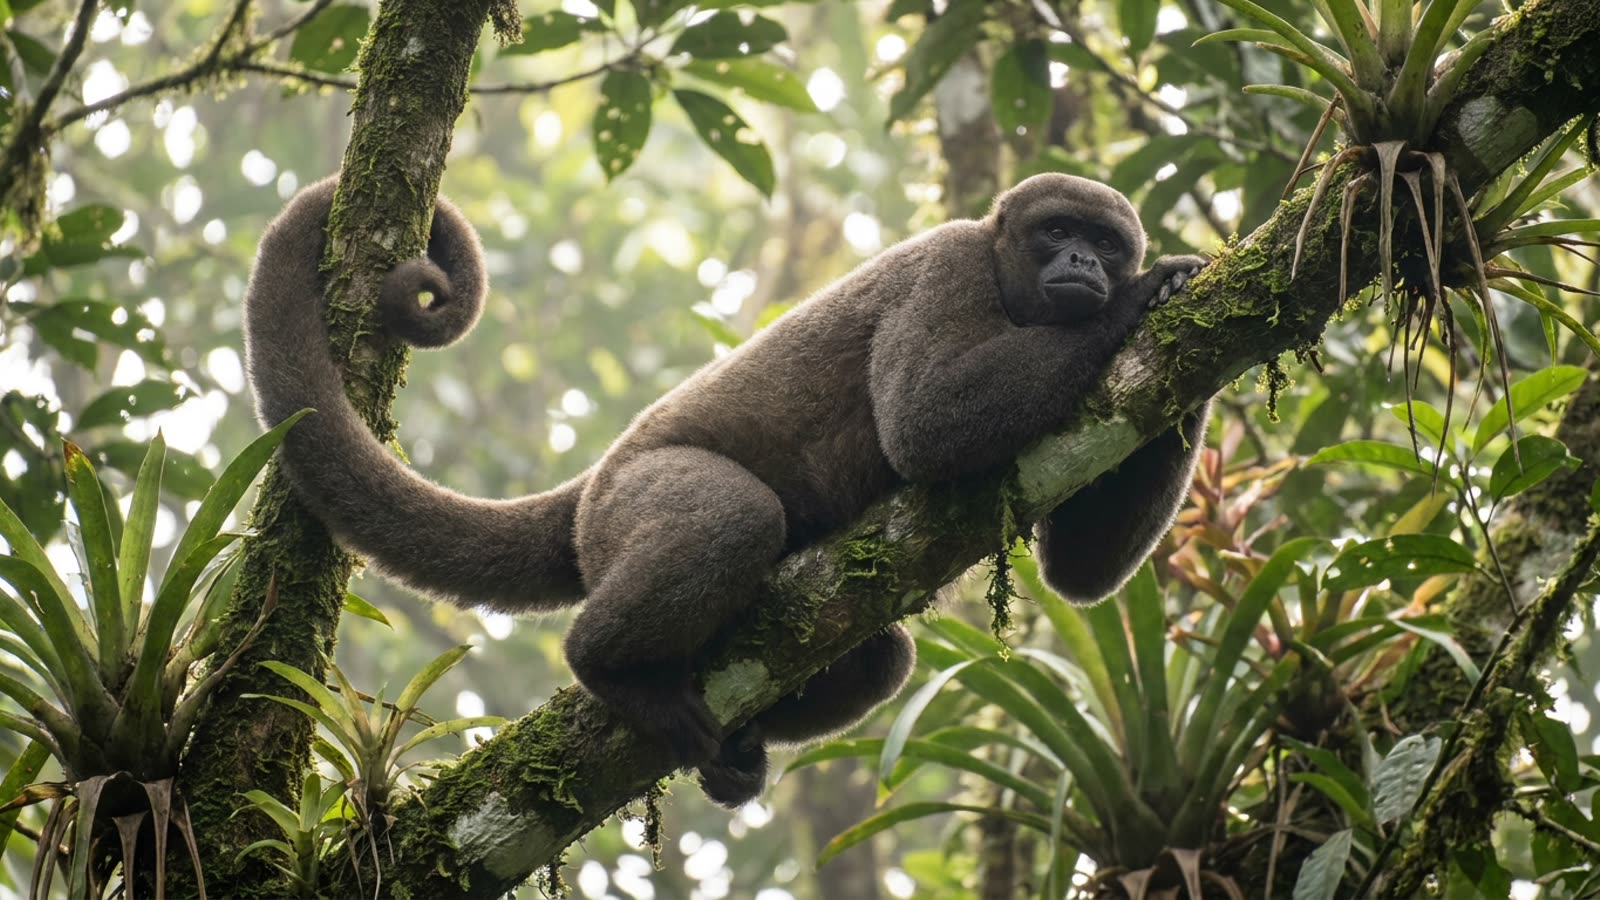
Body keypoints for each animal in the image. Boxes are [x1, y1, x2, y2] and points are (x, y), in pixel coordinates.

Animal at [243, 173, 1209, 808]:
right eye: (1057, 231)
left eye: (1106, 238)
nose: (1088, 260)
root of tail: (593, 484)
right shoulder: (950, 264)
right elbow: (925, 422)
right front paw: (1138, 298)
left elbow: (1079, 574)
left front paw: (1178, 316)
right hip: (631, 501)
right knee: (734, 518)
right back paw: (606, 666)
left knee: (884, 656)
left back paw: (739, 754)